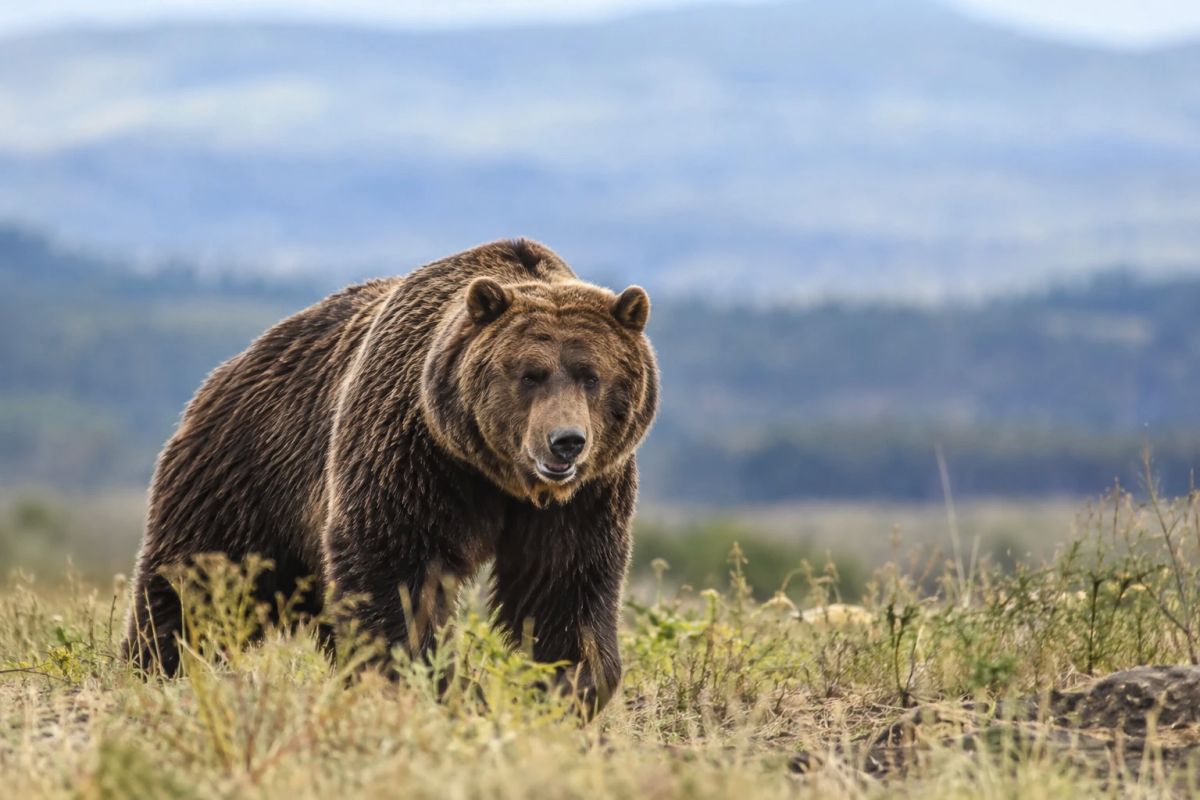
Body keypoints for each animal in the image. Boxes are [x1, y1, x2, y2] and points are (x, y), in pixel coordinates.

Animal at [123, 238, 658, 715]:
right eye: (530, 374)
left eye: (591, 376)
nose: (566, 441)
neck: (498, 476)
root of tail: (233, 365)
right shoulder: (414, 456)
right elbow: (397, 567)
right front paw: (428, 680)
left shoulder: (586, 496)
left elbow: (564, 585)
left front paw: (565, 685)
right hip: (243, 474)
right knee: (198, 581)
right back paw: (155, 666)